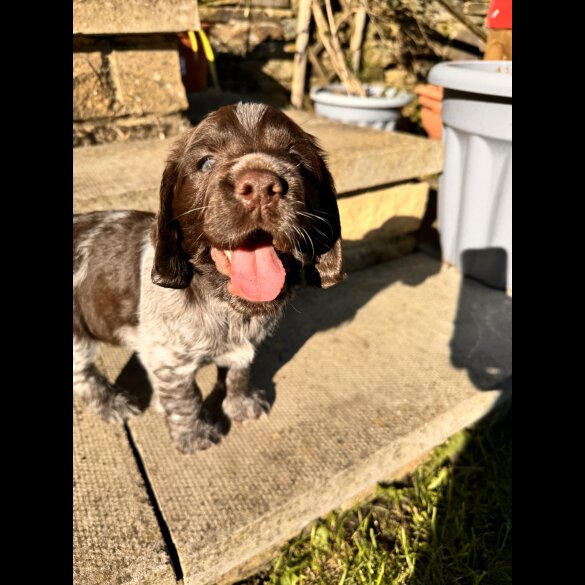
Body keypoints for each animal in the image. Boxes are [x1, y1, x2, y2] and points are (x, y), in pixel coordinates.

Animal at [74, 104, 344, 452]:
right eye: (205, 163)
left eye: (297, 159)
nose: (261, 186)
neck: (225, 305)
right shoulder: (168, 360)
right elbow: (185, 397)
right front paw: (194, 436)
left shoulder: (243, 345)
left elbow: (239, 370)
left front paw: (241, 404)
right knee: (83, 376)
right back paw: (112, 404)